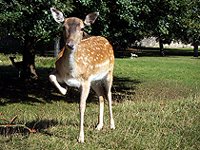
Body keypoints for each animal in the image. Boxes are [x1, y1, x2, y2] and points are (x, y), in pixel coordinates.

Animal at [48, 7, 115, 143]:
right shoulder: (60, 73)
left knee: (109, 95)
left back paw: (112, 125)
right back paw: (99, 126)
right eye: (63, 27)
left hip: (109, 72)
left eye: (82, 28)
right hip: (94, 81)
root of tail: (106, 40)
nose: (70, 44)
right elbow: (50, 77)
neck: (71, 72)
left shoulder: (85, 80)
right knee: (101, 96)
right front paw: (64, 90)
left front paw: (81, 138)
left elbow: (82, 106)